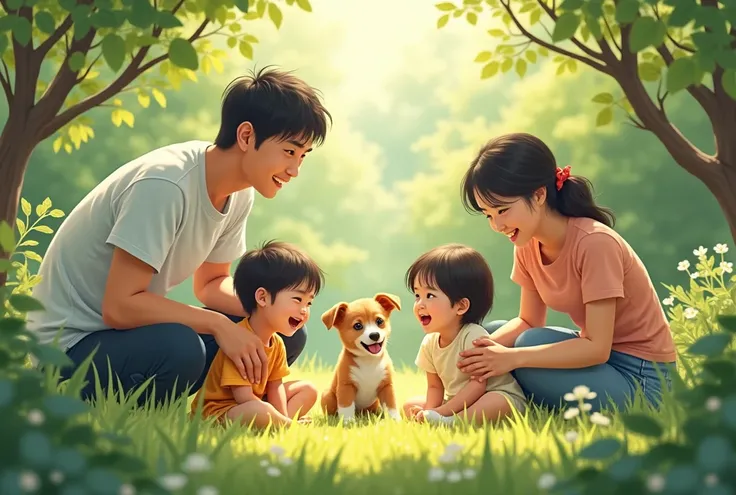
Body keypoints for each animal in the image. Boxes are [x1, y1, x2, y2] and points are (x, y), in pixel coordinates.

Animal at [320, 292, 402, 424]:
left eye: (379, 321)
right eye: (358, 326)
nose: (374, 335)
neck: (368, 360)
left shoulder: (387, 386)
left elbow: (391, 405)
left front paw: (395, 421)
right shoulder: (346, 386)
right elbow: (346, 406)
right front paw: (348, 422)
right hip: (327, 395)